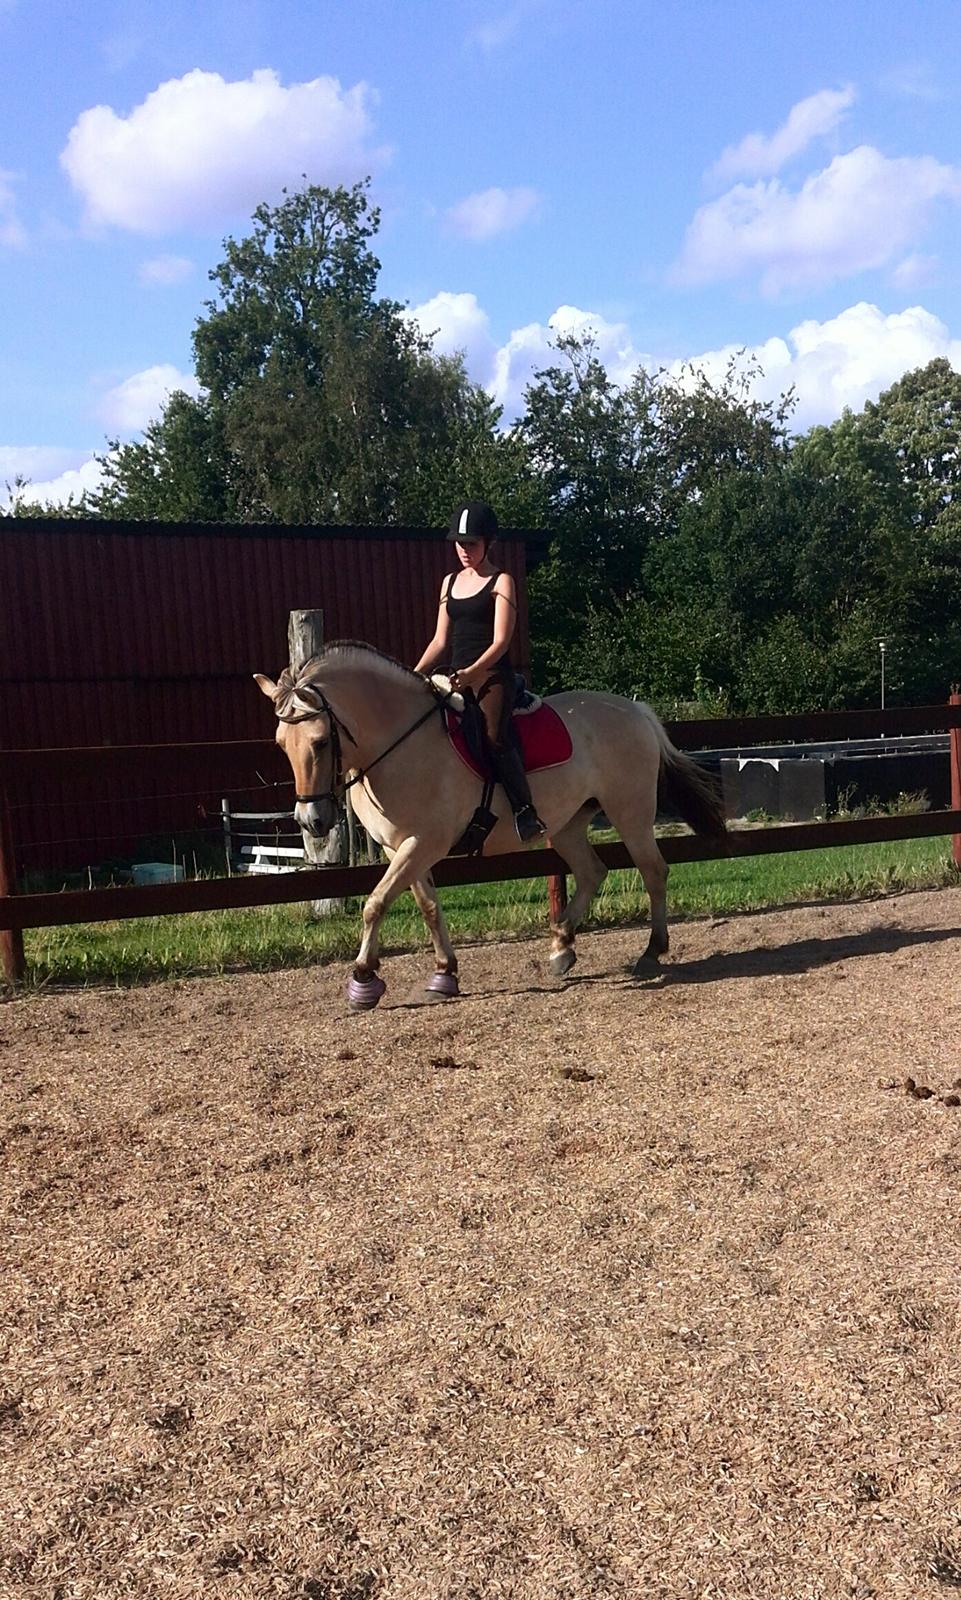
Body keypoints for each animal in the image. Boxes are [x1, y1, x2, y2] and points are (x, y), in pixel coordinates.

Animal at [255, 642, 727, 1010]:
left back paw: (652, 951)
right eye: (280, 744)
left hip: (630, 812)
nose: (312, 821)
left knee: (653, 871)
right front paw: (444, 974)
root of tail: (635, 710)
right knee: (593, 872)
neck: (400, 745)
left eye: (319, 742)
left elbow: (376, 902)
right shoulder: (400, 847)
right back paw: (560, 949)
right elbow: (427, 906)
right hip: (568, 823)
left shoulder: (424, 842)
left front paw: (363, 979)